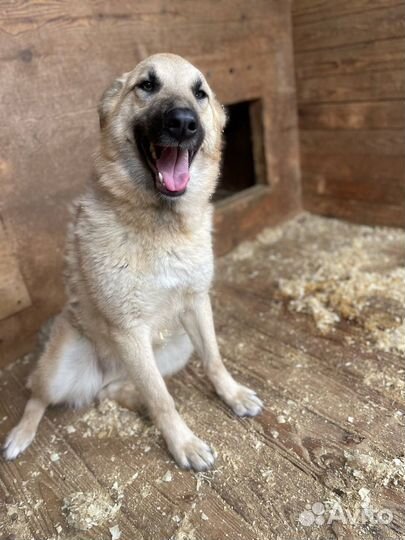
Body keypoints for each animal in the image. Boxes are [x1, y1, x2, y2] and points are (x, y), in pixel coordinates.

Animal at [3, 52, 262, 470]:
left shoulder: (196, 305)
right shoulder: (130, 331)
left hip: (173, 349)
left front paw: (233, 393)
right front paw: (183, 443)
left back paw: (133, 400)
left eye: (200, 93)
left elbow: (214, 360)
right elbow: (163, 399)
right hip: (62, 369)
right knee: (38, 397)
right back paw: (20, 435)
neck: (161, 226)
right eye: (147, 85)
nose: (183, 122)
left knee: (113, 390)